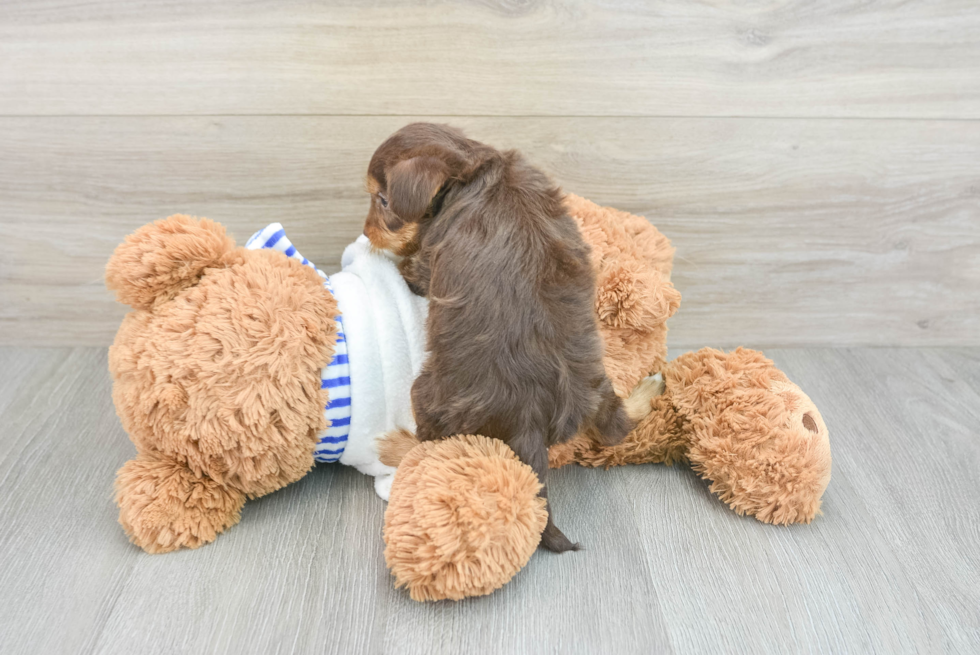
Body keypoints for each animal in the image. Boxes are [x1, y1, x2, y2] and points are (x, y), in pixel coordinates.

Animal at [364, 124, 632, 552]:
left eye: (383, 200)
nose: (364, 230)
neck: (472, 169)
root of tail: (532, 421)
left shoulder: (426, 266)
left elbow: (412, 267)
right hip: (598, 389)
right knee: (618, 427)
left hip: (427, 395)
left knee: (431, 445)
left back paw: (395, 445)